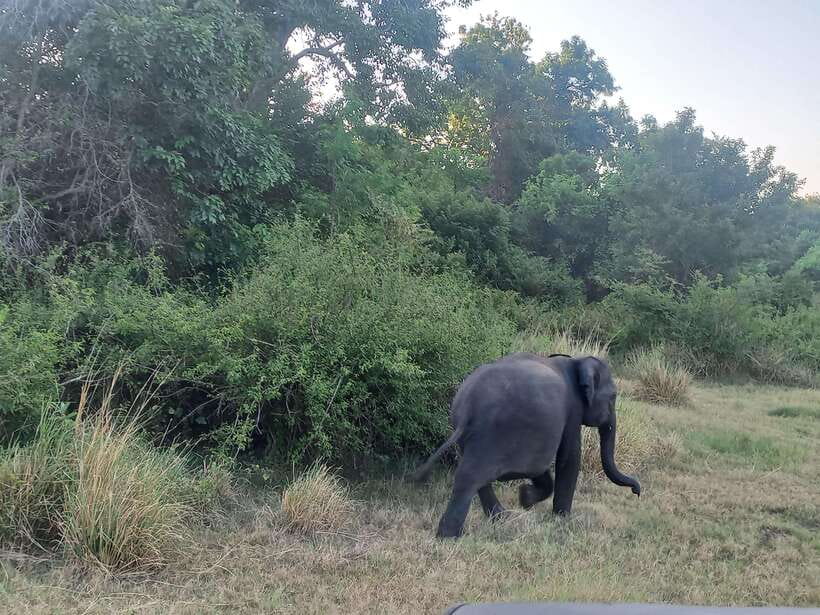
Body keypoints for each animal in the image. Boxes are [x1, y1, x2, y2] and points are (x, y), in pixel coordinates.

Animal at [412, 352, 641, 538]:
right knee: (471, 476)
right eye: (613, 397)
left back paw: (501, 518)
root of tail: (469, 406)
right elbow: (569, 457)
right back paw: (449, 536)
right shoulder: (573, 410)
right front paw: (561, 518)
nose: (637, 491)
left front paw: (525, 498)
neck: (576, 361)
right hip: (497, 432)